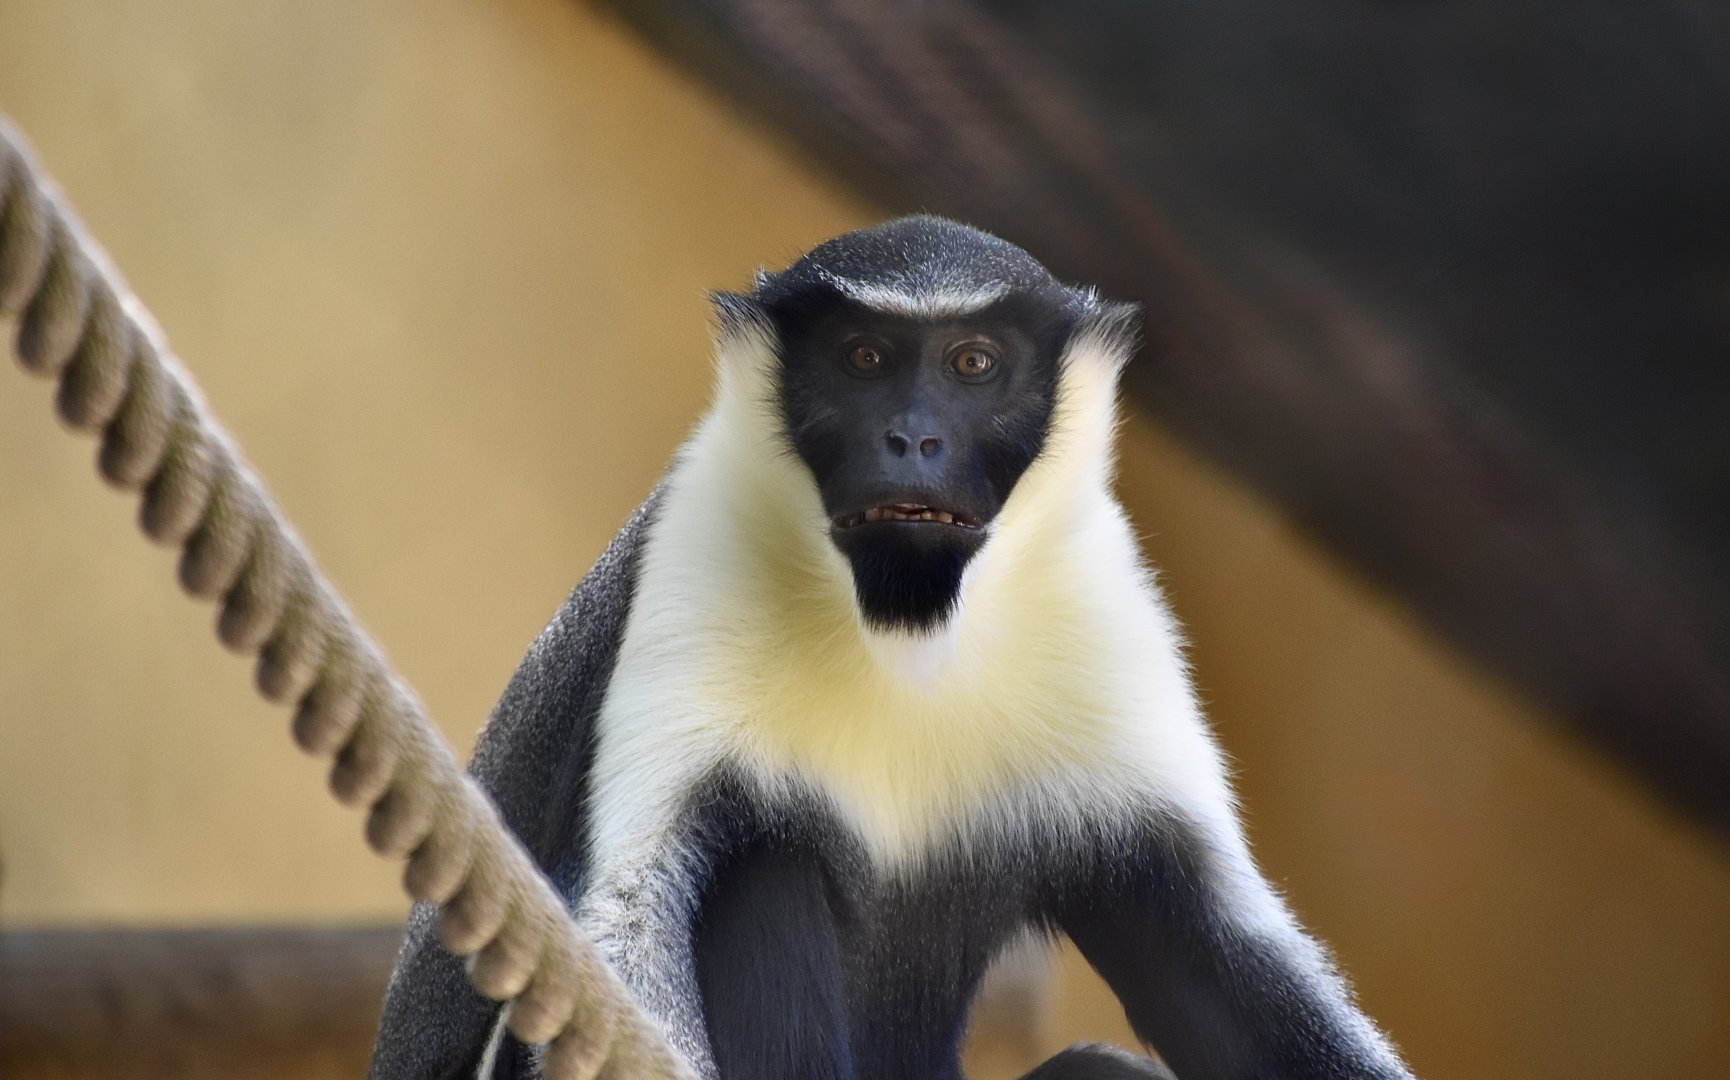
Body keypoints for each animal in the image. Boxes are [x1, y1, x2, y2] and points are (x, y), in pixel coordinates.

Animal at [368, 216, 1414, 1080]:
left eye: (974, 363)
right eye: (864, 356)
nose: (911, 438)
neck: (903, 626)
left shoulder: (1102, 606)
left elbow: (1220, 956)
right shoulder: (694, 547)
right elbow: (635, 905)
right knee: (765, 858)